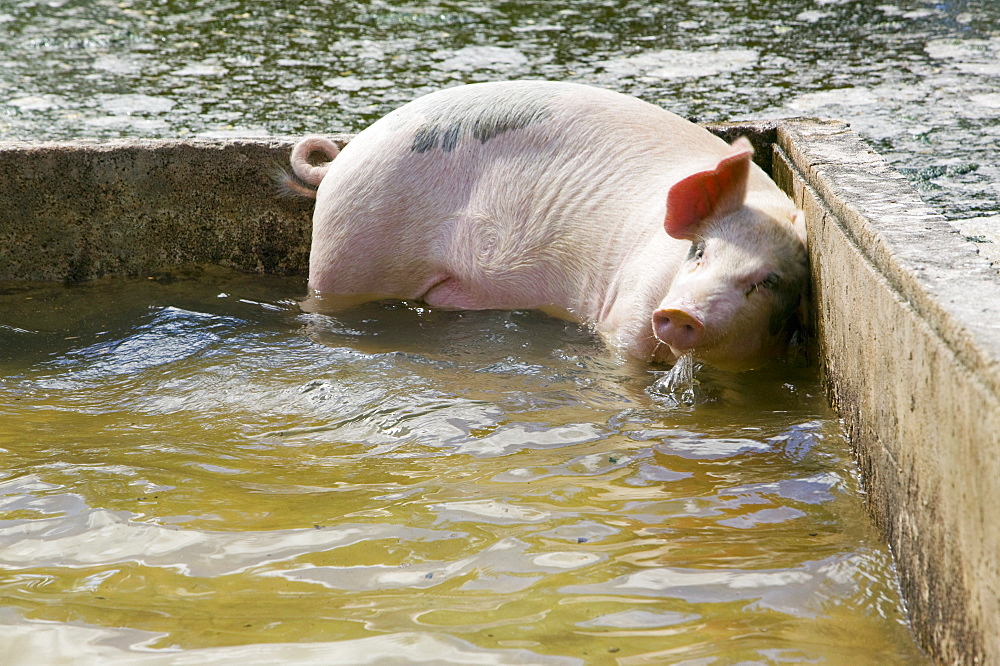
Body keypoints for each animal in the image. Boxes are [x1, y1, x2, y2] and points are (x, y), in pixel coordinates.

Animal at [288, 79, 804, 368]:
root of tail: (341, 161)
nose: (682, 312)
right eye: (699, 252)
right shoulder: (633, 299)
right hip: (348, 244)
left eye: (768, 281)